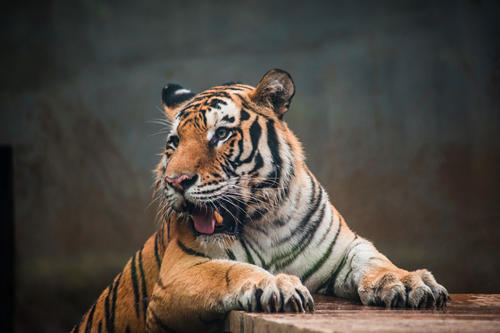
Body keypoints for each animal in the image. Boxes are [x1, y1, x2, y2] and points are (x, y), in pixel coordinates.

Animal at [71, 68, 450, 332]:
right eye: (174, 142)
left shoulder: (346, 247)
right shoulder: (180, 270)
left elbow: (375, 262)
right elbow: (230, 271)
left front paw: (409, 282)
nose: (175, 182)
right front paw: (277, 284)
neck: (269, 221)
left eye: (221, 134)